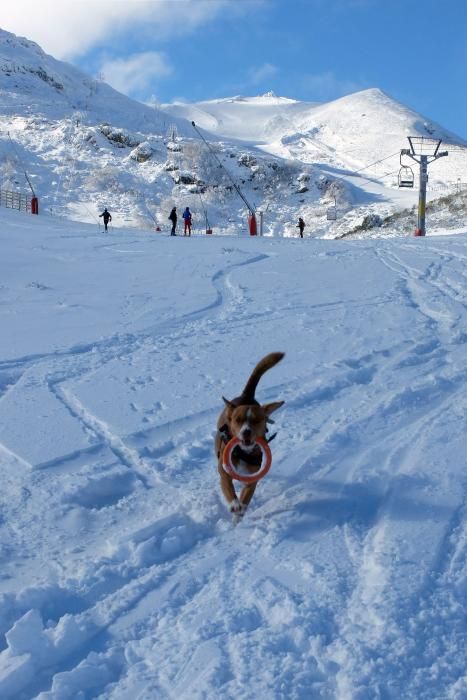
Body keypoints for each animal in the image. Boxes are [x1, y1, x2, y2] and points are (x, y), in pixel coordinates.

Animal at [216, 352, 286, 516]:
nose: (246, 432)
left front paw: (240, 511)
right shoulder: (224, 472)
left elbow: (246, 496)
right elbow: (229, 488)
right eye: (237, 420)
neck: (244, 452)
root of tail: (245, 395)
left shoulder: (252, 479)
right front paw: (235, 505)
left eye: (257, 420)